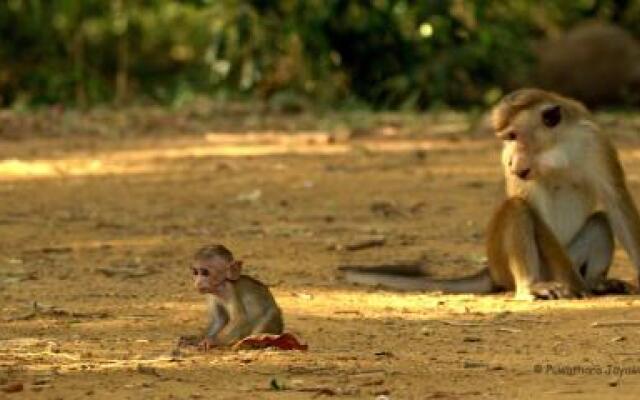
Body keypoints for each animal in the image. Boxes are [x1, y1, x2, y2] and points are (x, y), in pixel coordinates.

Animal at [342, 89, 640, 298]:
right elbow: (531, 210)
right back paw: (531, 287)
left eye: (514, 135)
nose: (510, 160)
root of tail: (491, 269)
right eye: (507, 139)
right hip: (511, 265)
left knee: (601, 221)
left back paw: (597, 282)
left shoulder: (596, 142)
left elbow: (617, 203)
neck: (557, 150)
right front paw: (577, 286)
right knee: (516, 209)